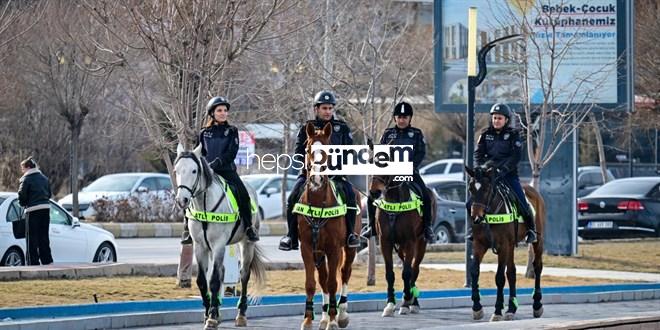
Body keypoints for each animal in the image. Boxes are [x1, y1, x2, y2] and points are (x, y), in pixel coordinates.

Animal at [178, 145, 268, 330]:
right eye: (176, 170)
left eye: (194, 170)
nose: (181, 200)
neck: (205, 205)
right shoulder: (200, 246)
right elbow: (202, 281)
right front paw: (208, 314)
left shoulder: (218, 244)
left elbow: (213, 281)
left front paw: (211, 318)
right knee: (222, 272)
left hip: (246, 244)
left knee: (244, 274)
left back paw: (241, 315)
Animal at [298, 122, 364, 330]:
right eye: (308, 149)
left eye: (329, 149)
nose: (316, 180)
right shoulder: (308, 248)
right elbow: (312, 283)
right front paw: (308, 319)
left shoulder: (334, 248)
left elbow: (334, 283)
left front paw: (334, 320)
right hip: (319, 251)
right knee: (323, 278)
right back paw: (324, 316)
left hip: (349, 248)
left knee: (344, 273)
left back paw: (341, 314)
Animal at [368, 175, 436, 318]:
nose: (374, 192)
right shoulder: (385, 242)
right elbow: (390, 274)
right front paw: (390, 305)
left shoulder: (410, 241)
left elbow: (406, 273)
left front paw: (406, 301)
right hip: (400, 247)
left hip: (420, 243)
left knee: (414, 269)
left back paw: (412, 302)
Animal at [464, 166, 548, 320]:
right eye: (470, 188)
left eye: (486, 188)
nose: (476, 217)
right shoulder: (479, 244)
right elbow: (474, 271)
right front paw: (477, 307)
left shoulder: (503, 246)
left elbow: (499, 277)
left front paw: (497, 310)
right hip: (511, 246)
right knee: (512, 272)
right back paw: (511, 309)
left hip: (537, 241)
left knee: (537, 266)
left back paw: (537, 304)